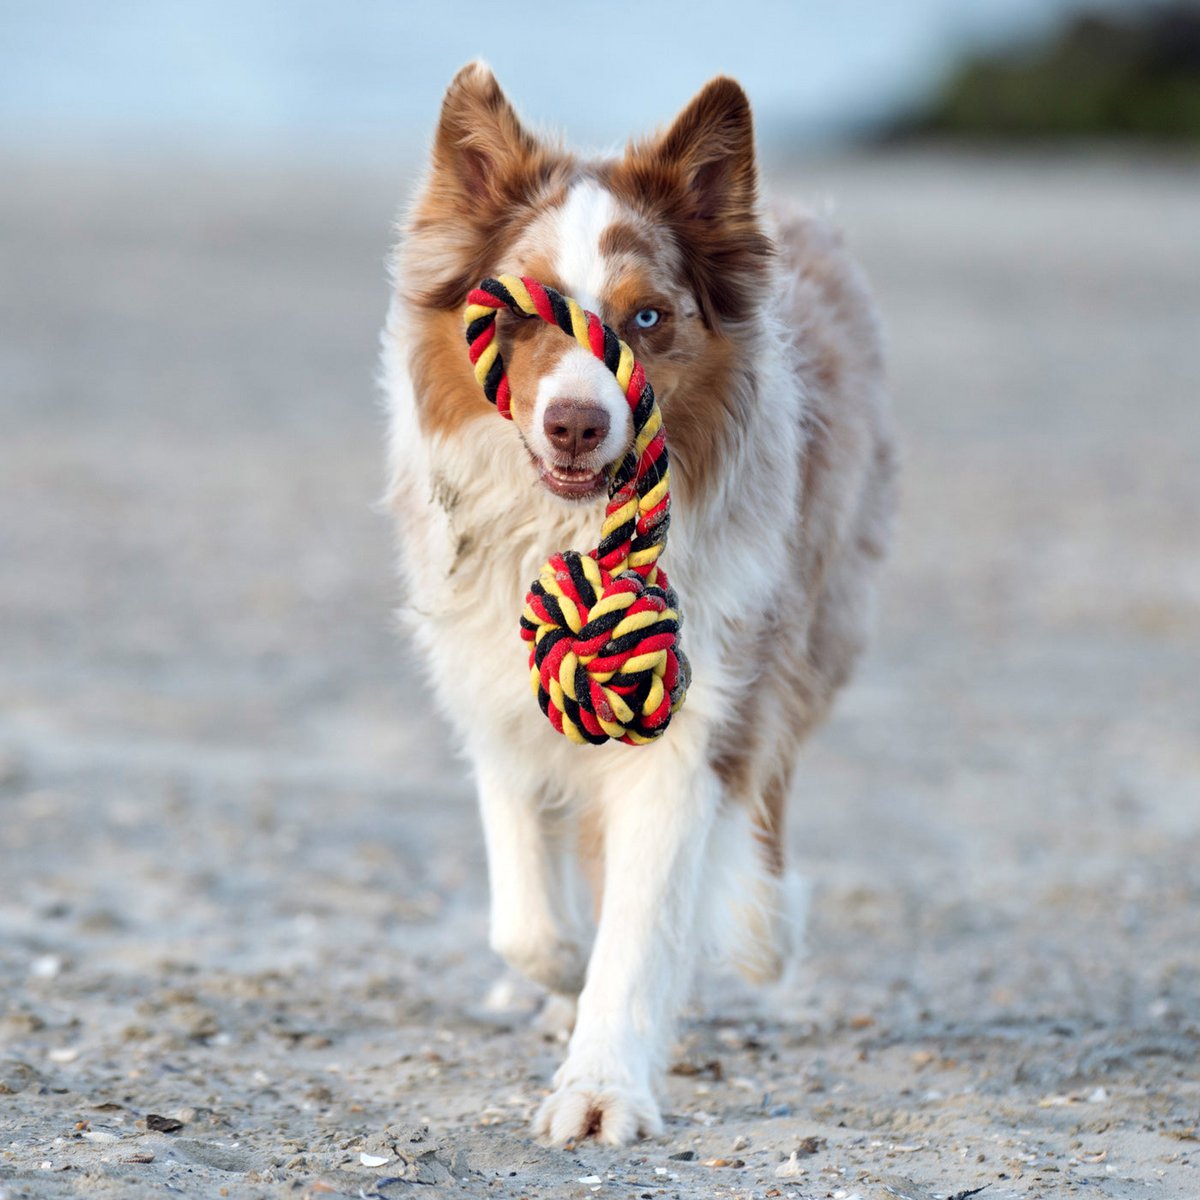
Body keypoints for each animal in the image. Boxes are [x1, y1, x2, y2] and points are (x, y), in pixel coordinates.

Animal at [379, 63, 897, 1142]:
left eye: (648, 319)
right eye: (525, 312)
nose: (577, 424)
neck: (566, 532)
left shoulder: (695, 705)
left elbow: (645, 912)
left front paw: (602, 1083)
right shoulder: (491, 688)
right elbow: (526, 919)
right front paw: (559, 980)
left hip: (814, 613)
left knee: (767, 793)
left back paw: (758, 923)